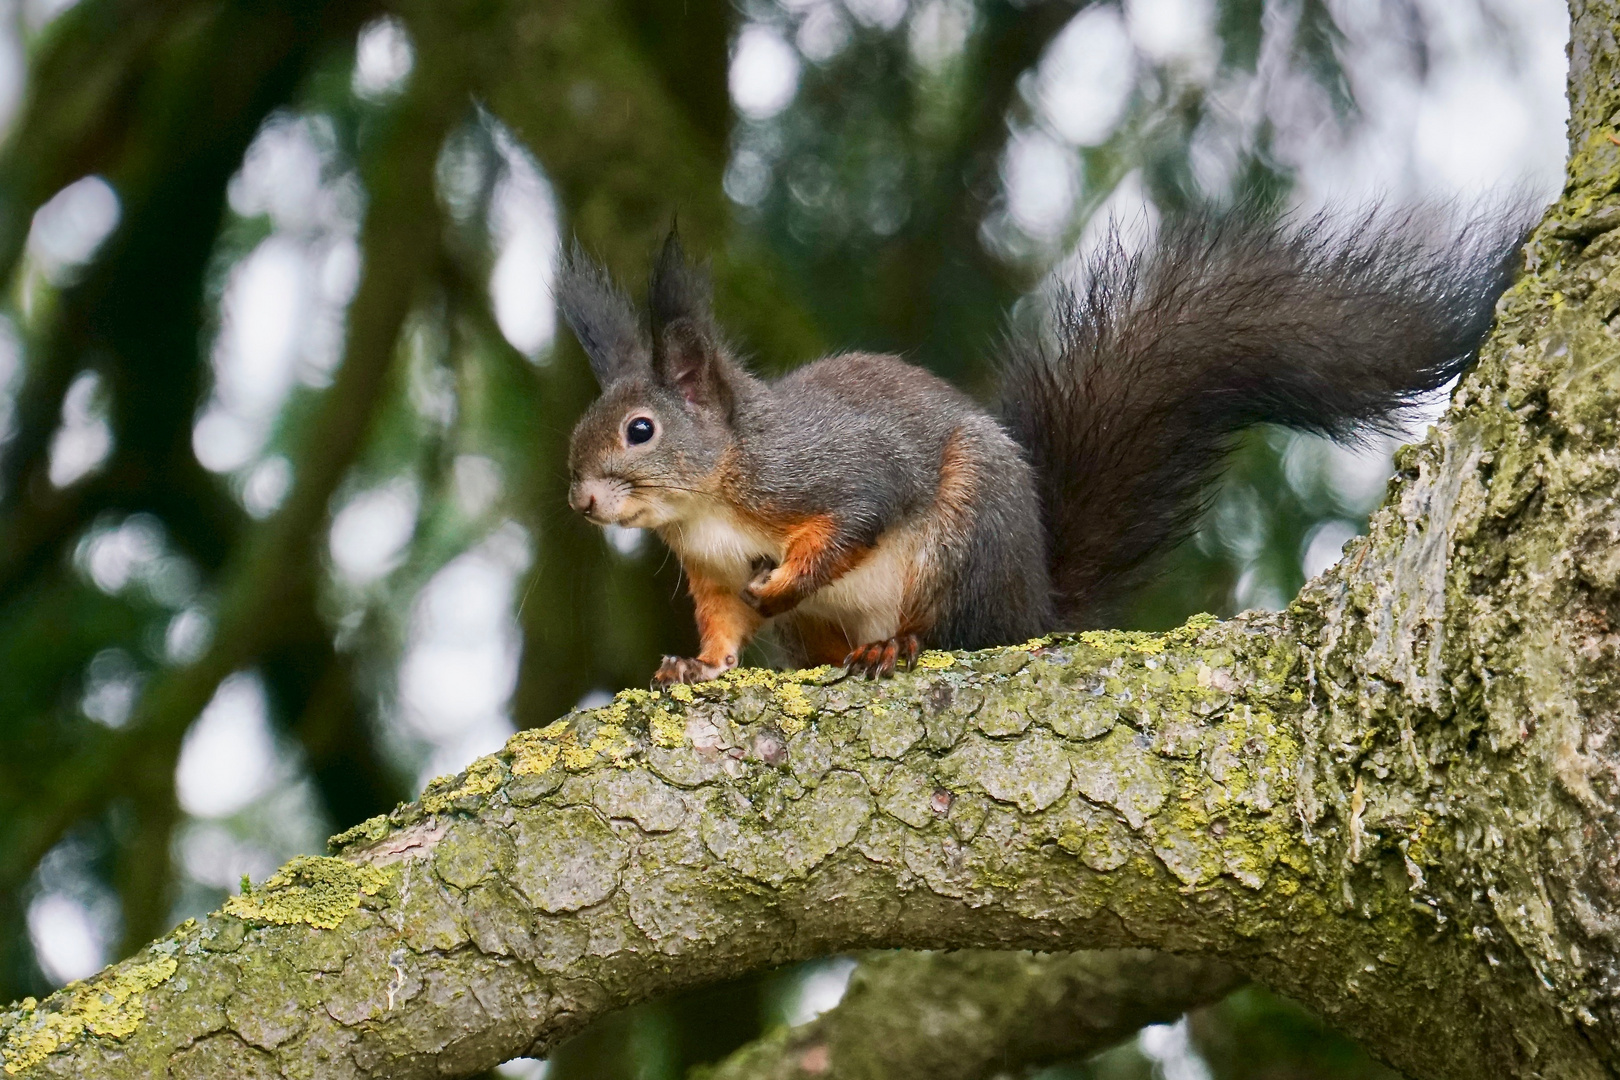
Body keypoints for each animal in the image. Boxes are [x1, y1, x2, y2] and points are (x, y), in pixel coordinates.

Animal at [554, 204, 1516, 683]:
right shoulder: (710, 570)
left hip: (962, 540)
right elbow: (724, 623)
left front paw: (786, 578)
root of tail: (1034, 608)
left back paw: (895, 647)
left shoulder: (831, 470)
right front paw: (695, 664)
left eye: (640, 430)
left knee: (956, 632)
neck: (710, 496)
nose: (580, 501)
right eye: (585, 429)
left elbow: (854, 520)